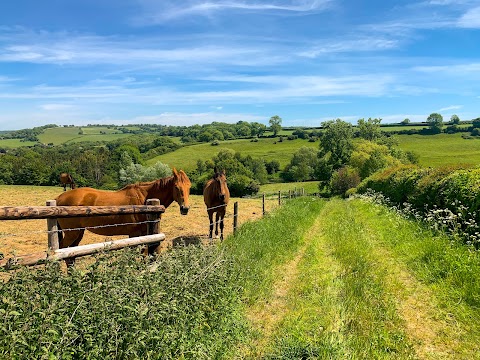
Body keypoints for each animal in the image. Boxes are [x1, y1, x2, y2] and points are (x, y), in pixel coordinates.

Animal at [55, 169, 190, 253]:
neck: (144, 200)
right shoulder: (134, 234)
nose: (185, 208)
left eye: (189, 187)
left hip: (78, 233)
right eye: (176, 187)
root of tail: (59, 198)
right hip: (72, 233)